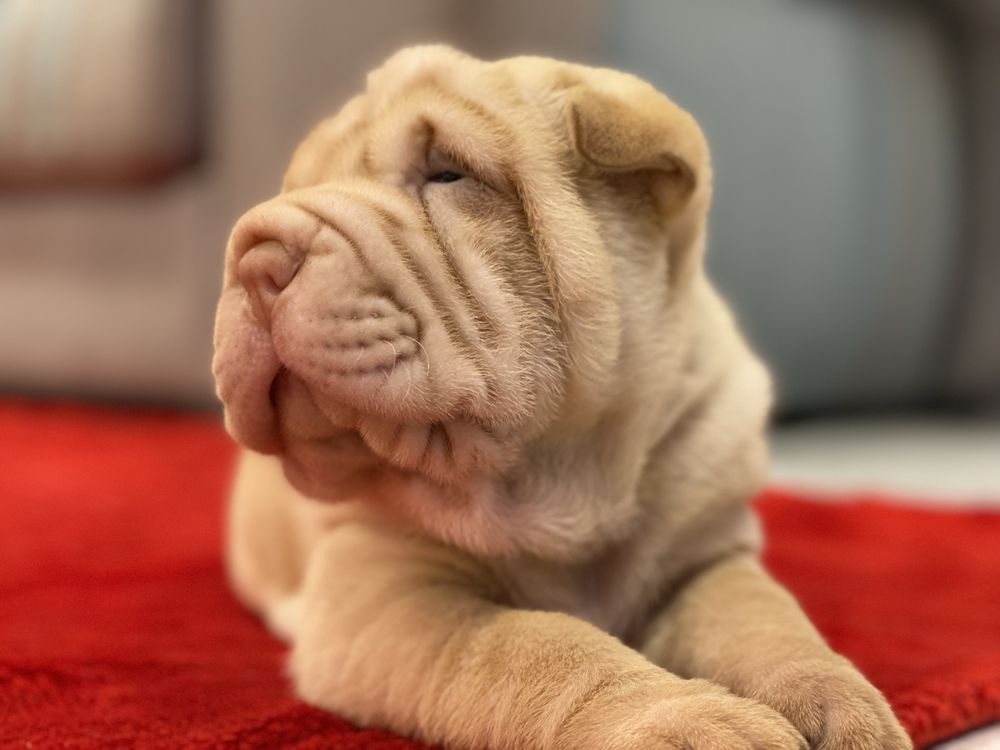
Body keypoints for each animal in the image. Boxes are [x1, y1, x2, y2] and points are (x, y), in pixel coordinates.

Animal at [213, 47, 916, 750]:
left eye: (448, 173)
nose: (255, 256)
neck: (568, 479)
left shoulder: (706, 557)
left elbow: (764, 619)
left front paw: (836, 700)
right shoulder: (390, 593)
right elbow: (547, 649)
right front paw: (689, 721)